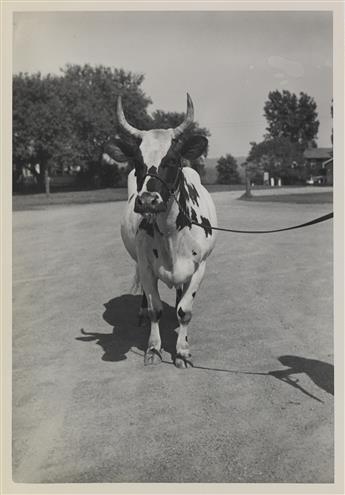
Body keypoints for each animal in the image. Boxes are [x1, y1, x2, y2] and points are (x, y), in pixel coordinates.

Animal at [111, 94, 216, 368]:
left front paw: (182, 351)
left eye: (171, 160)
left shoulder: (199, 267)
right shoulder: (147, 267)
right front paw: (154, 348)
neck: (171, 233)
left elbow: (185, 311)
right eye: (137, 162)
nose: (148, 201)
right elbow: (155, 309)